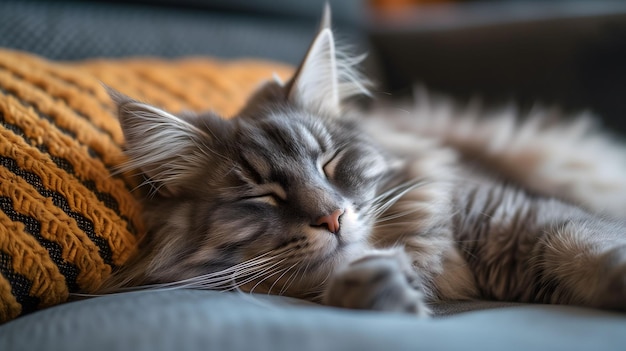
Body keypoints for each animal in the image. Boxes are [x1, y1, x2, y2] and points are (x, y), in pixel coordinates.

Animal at [98, 6, 624, 316]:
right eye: (262, 194)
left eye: (329, 163)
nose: (332, 217)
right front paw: (383, 288)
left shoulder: (518, 216)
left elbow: (586, 245)